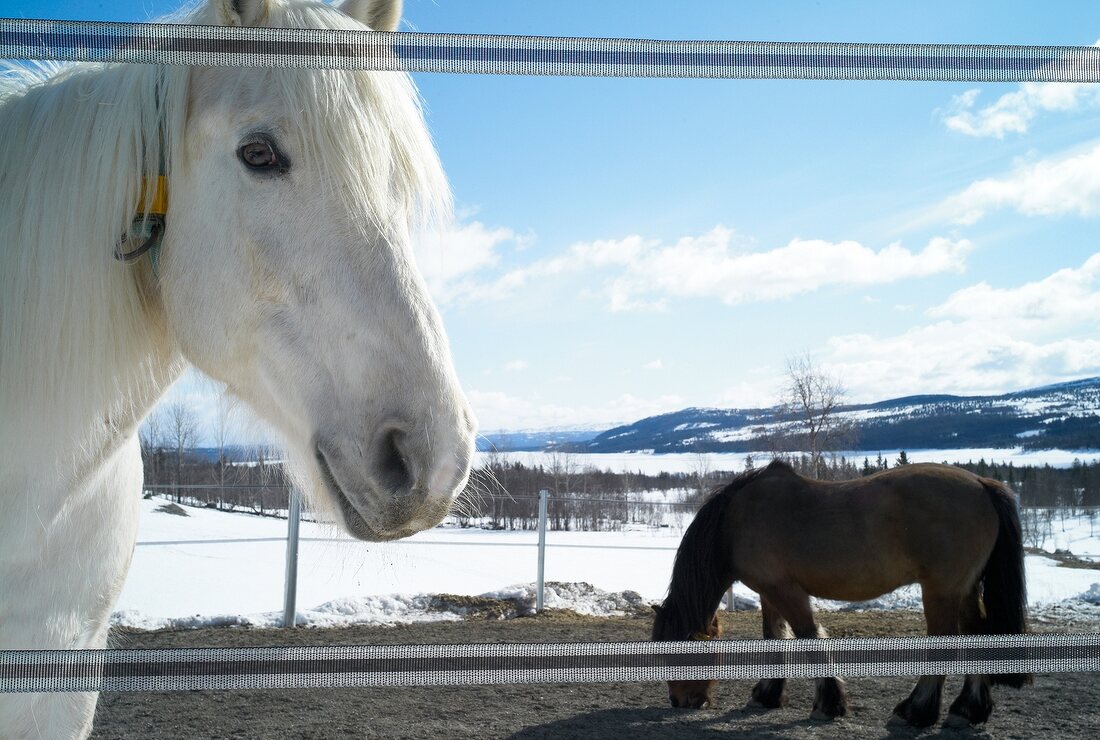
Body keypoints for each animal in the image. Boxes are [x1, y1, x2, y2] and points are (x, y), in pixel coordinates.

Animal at [646, 459, 1025, 725]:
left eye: (673, 655)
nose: (679, 702)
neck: (735, 522)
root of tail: (981, 484)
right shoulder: (769, 592)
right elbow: (775, 639)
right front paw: (767, 696)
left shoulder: (786, 591)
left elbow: (809, 639)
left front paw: (829, 704)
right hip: (965, 591)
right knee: (977, 636)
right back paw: (968, 711)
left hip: (941, 592)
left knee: (944, 645)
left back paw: (915, 712)